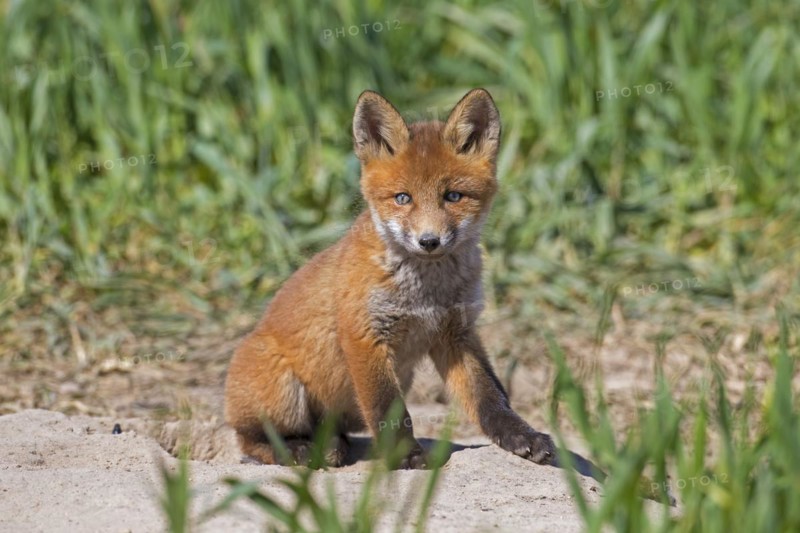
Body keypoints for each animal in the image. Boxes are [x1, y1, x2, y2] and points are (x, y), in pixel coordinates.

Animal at [224, 88, 555, 469]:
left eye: (453, 196)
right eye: (403, 198)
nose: (429, 241)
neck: (426, 294)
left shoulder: (456, 334)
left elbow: (490, 397)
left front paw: (522, 436)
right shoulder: (365, 335)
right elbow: (388, 409)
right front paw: (405, 454)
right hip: (283, 392)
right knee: (249, 439)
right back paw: (298, 449)